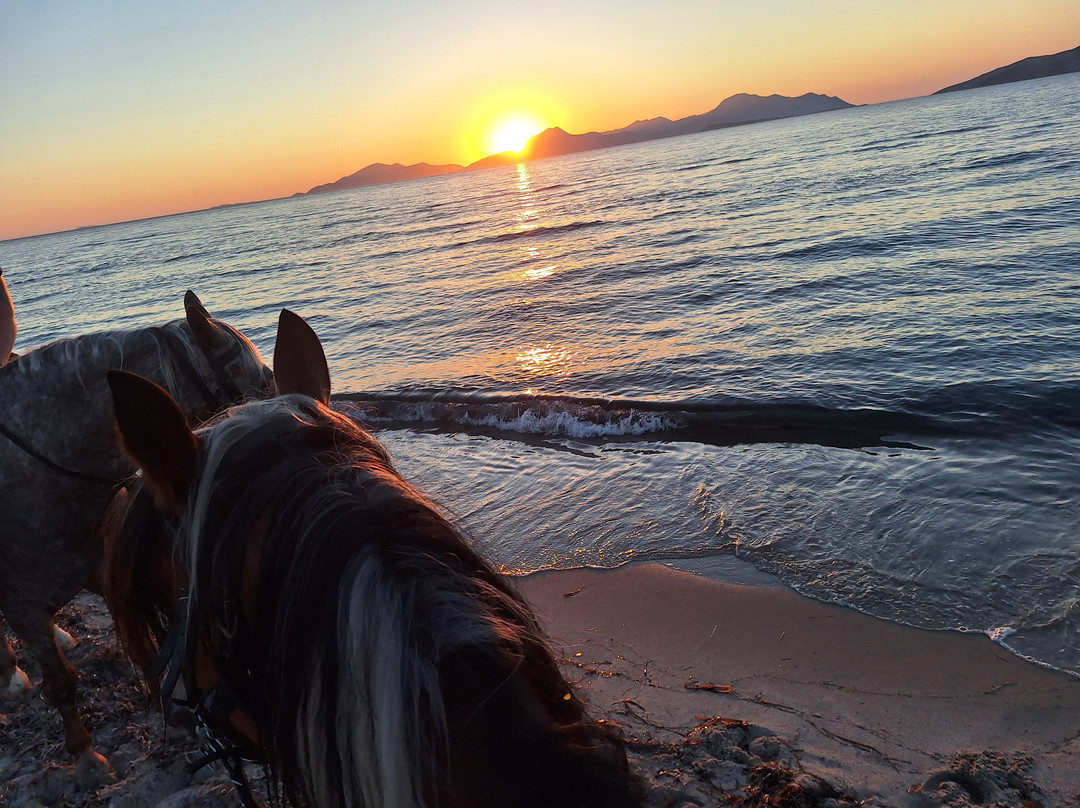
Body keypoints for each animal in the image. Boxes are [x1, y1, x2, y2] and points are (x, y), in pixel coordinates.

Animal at [0, 291, 271, 782]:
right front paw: (87, 758)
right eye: (262, 381)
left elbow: (146, 643)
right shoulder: (23, 607)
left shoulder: (108, 572)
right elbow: (61, 683)